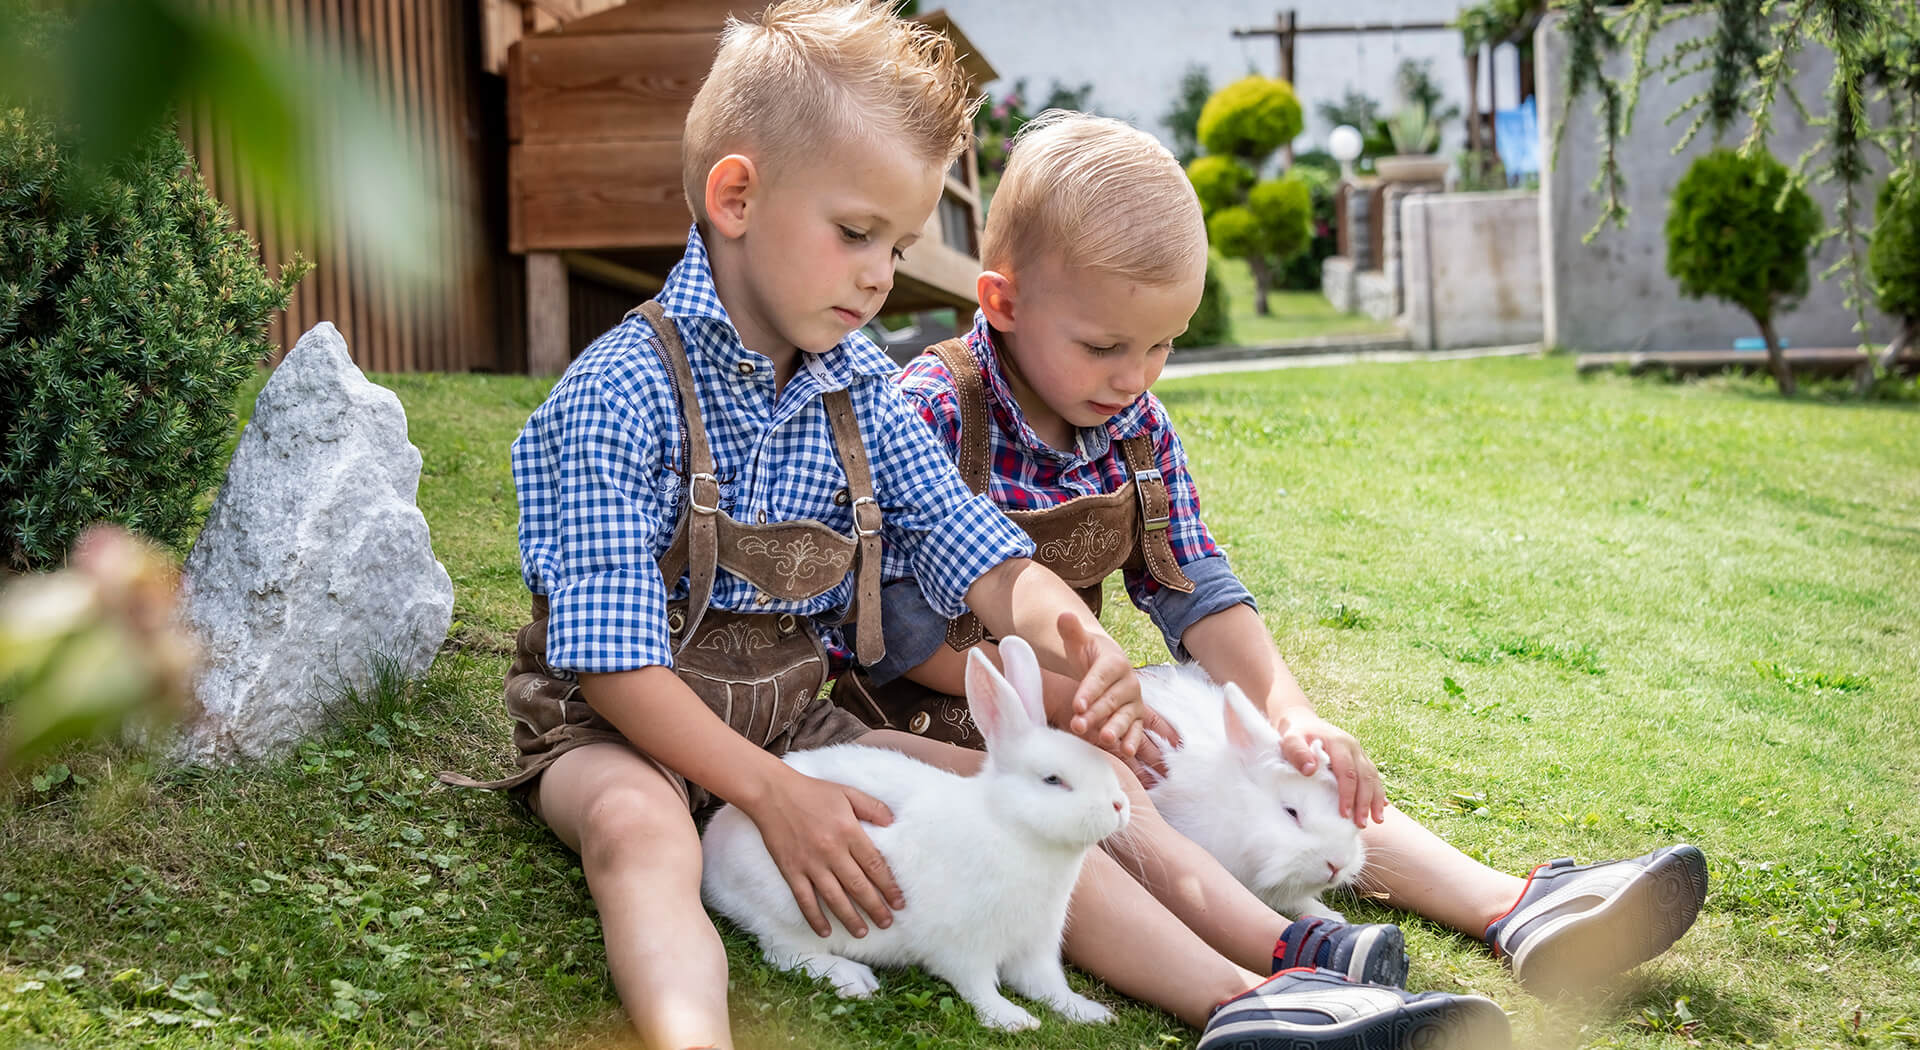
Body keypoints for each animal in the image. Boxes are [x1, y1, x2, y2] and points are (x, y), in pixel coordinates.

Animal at [702, 637, 1121, 1028]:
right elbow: (978, 986)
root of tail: (713, 858)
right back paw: (854, 978)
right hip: (795, 913)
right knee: (785, 954)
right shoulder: (964, 946)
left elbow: (1048, 986)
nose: (1119, 805)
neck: (1010, 828)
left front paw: (1091, 1013)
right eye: (1053, 780)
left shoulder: (1037, 945)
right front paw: (1013, 1019)